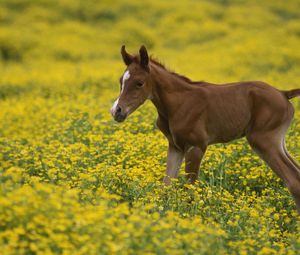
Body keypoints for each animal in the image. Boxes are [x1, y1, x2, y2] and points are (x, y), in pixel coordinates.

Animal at [110, 45, 300, 213]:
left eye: (139, 83)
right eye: (120, 81)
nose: (116, 111)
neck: (178, 103)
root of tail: (283, 93)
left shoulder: (196, 146)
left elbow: (189, 189)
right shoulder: (175, 147)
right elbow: (166, 185)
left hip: (263, 141)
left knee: (293, 181)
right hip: (277, 142)